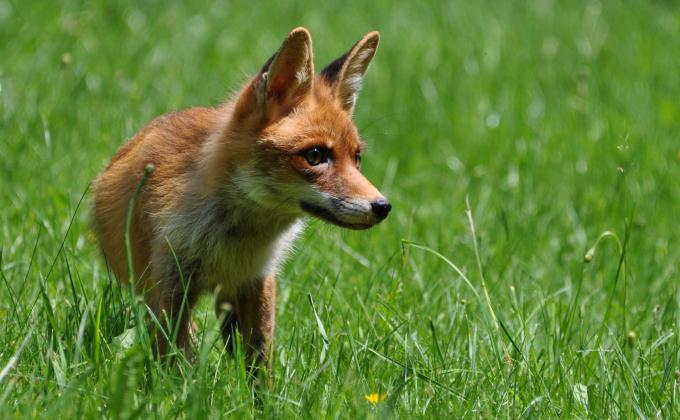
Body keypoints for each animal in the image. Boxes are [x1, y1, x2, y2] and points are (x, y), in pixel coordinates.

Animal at [91, 27, 390, 372]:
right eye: (315, 156)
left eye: (357, 158)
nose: (383, 207)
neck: (233, 241)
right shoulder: (171, 283)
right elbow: (175, 360)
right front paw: (180, 386)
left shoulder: (257, 280)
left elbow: (259, 363)